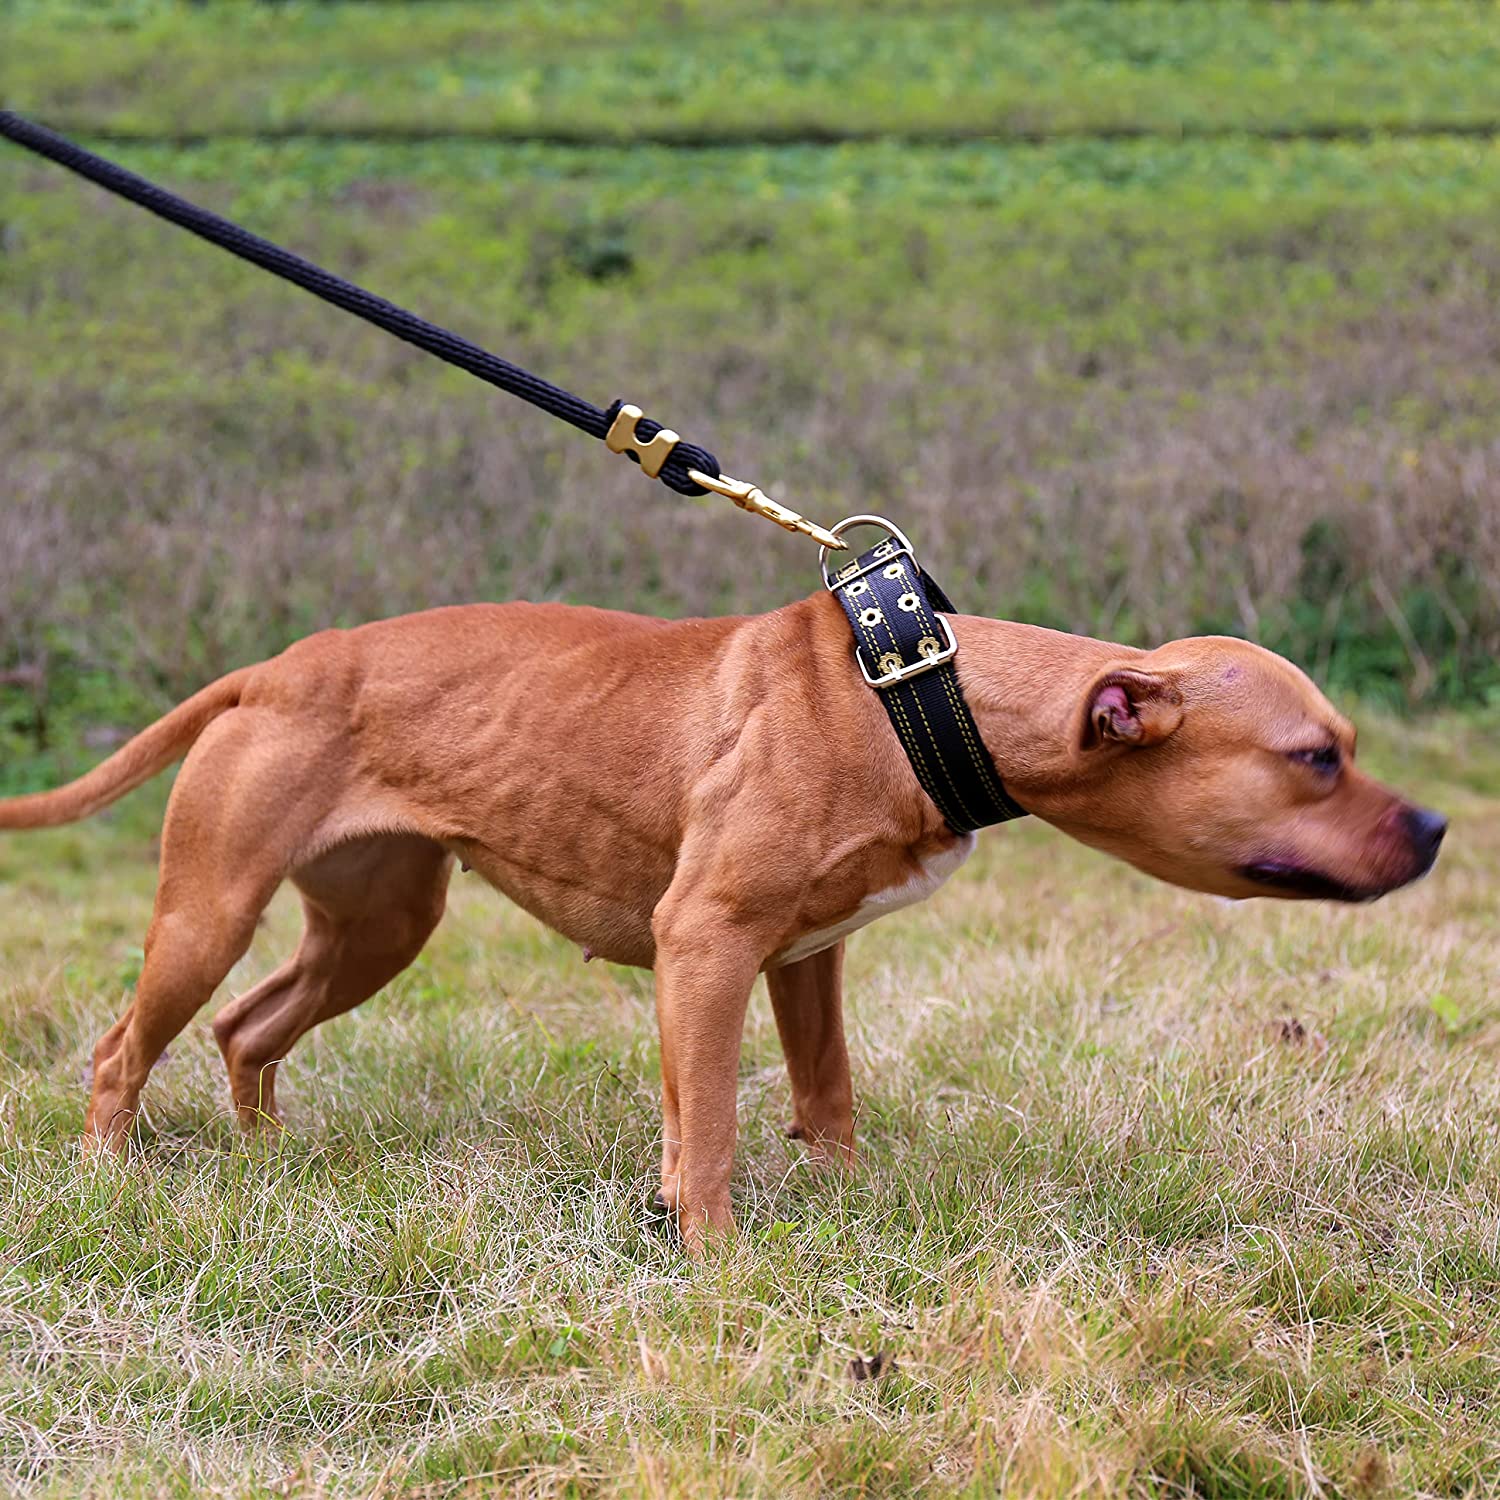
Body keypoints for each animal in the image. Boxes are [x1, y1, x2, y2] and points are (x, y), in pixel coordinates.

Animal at [2, 591, 1452, 1248]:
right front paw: (716, 1258)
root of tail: (275, 666)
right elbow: (706, 1127)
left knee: (249, 1031)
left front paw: (850, 1201)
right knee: (122, 1048)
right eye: (1315, 759)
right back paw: (108, 1178)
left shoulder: (805, 961)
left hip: (375, 928)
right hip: (209, 913)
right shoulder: (705, 951)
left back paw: (267, 1157)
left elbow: (824, 1092)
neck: (917, 694)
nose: (1440, 828)